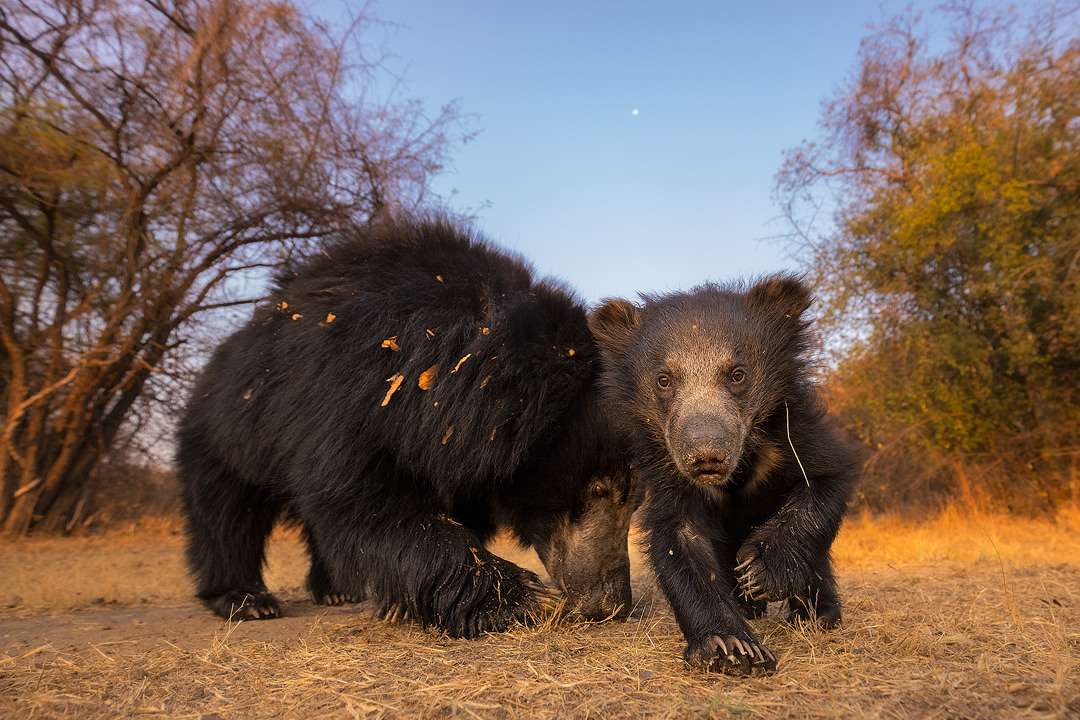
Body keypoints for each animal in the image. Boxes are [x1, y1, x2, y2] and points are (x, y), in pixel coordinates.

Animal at [176, 213, 630, 634]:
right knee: (226, 512)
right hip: (228, 430)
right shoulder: (350, 398)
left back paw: (336, 591)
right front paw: (528, 599)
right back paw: (246, 599)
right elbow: (367, 505)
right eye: (598, 489)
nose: (613, 604)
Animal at [587, 276, 855, 677]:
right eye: (664, 380)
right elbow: (681, 542)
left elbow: (823, 481)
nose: (705, 455)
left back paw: (816, 613)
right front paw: (732, 647)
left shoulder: (795, 433)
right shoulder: (666, 468)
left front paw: (762, 571)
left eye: (738, 374)